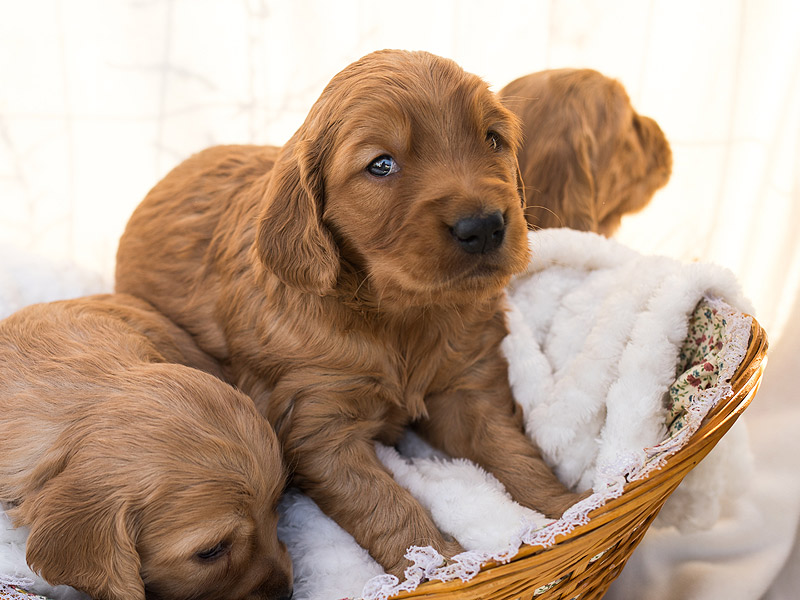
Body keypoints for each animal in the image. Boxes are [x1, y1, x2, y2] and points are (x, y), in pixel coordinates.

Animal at [115, 49, 584, 576]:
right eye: (381, 164)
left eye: (492, 139)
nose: (483, 226)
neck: (399, 316)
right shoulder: (317, 423)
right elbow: (384, 501)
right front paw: (432, 561)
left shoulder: (467, 386)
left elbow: (512, 450)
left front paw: (566, 508)